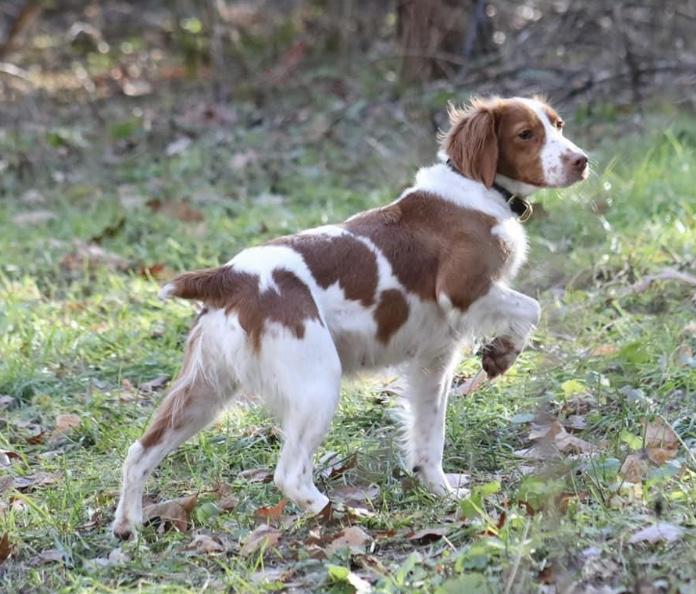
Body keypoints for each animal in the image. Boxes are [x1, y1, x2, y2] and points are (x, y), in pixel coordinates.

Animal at [113, 96, 588, 539]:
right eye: (526, 134)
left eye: (559, 125)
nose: (581, 161)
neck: (473, 187)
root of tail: (231, 275)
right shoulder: (463, 290)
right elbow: (532, 306)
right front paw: (502, 354)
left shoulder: (432, 359)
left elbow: (428, 437)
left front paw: (441, 491)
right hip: (317, 382)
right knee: (289, 474)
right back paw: (343, 514)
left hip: (204, 390)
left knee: (139, 451)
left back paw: (127, 526)